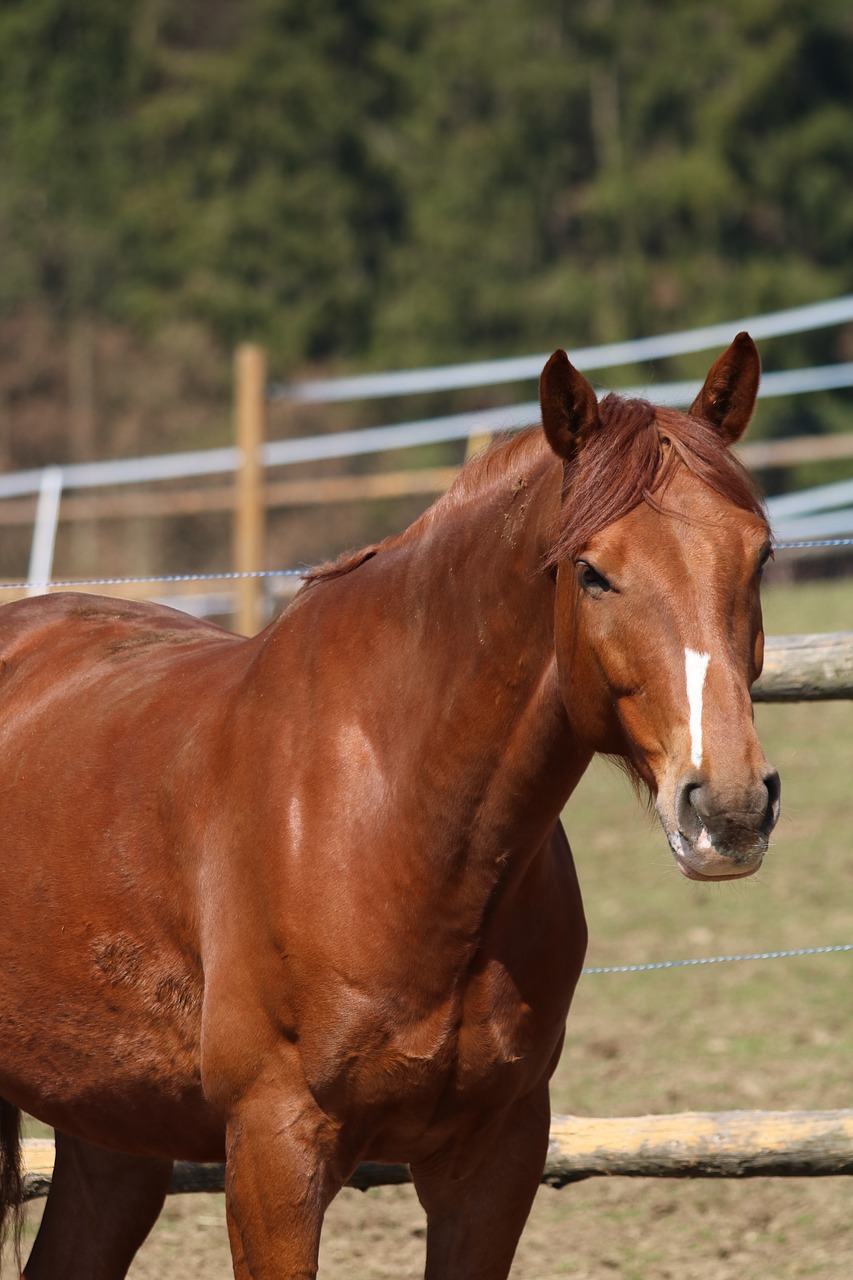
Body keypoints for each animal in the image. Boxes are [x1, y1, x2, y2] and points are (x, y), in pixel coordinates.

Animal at [0, 335, 773, 1274]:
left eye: (760, 556)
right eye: (591, 572)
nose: (728, 809)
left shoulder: (493, 1157)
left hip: (112, 1127)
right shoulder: (273, 1151)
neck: (399, 826)